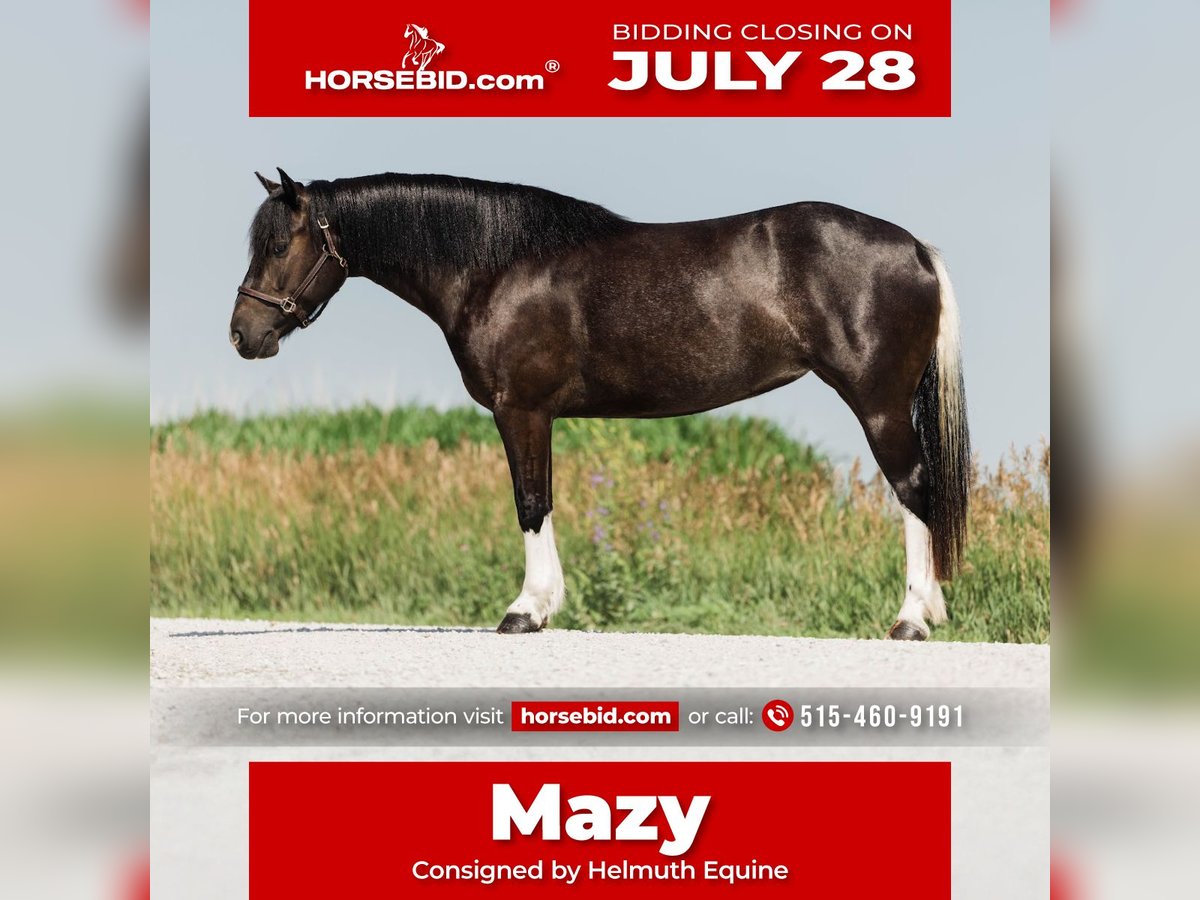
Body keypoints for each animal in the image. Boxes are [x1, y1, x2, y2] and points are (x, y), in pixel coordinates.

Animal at [230, 169, 970, 640]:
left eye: (279, 244)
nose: (243, 334)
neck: (497, 267)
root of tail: (915, 249)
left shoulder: (521, 411)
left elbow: (531, 504)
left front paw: (526, 610)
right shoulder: (539, 417)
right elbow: (544, 500)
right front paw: (544, 605)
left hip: (878, 405)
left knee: (914, 491)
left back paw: (911, 619)